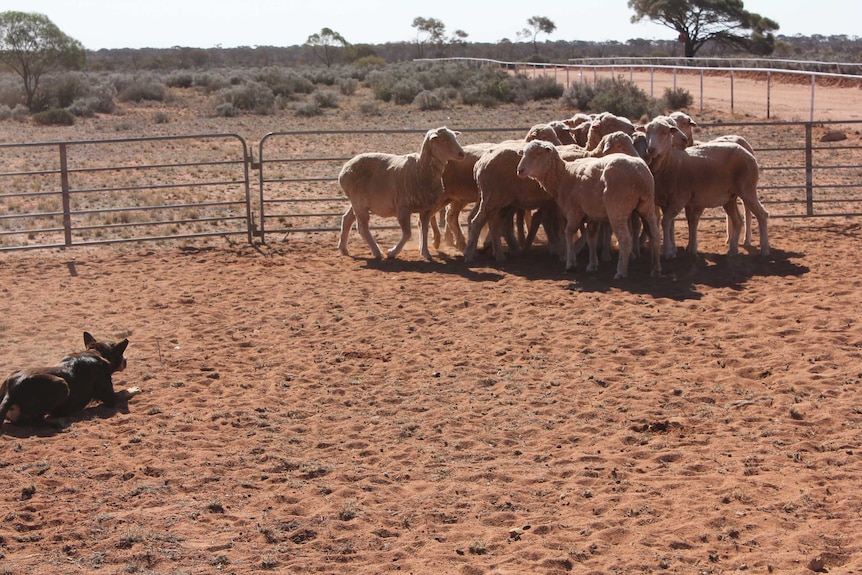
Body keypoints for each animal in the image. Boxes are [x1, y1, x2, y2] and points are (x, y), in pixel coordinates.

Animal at [0, 330, 140, 434]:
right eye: (122, 354)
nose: (126, 360)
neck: (96, 353)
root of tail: (11, 391)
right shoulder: (110, 397)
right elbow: (123, 392)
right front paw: (135, 389)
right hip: (62, 385)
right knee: (36, 420)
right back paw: (59, 421)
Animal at [340, 128, 470, 260]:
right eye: (443, 140)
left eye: (454, 137)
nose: (461, 154)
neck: (421, 169)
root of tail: (345, 168)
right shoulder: (403, 208)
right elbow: (407, 233)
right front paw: (392, 252)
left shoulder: (427, 209)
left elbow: (424, 230)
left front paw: (425, 252)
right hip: (359, 202)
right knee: (362, 227)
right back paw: (377, 252)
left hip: (357, 202)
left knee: (347, 219)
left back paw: (343, 249)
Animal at [516, 140, 664, 280]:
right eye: (523, 153)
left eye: (537, 154)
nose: (519, 170)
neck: (563, 177)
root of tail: (639, 174)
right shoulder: (593, 214)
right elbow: (591, 238)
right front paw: (592, 265)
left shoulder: (574, 211)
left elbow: (568, 232)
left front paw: (571, 263)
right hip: (647, 206)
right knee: (655, 234)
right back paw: (656, 269)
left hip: (617, 209)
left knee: (625, 239)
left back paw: (621, 271)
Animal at [636, 116, 772, 258]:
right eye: (647, 132)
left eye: (665, 132)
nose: (651, 149)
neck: (670, 163)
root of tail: (749, 154)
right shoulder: (665, 201)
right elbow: (672, 223)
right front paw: (674, 249)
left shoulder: (679, 199)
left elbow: (666, 221)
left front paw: (668, 251)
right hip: (730, 197)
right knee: (738, 220)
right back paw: (733, 250)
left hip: (747, 188)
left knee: (762, 214)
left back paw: (764, 250)